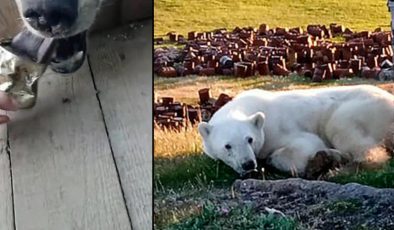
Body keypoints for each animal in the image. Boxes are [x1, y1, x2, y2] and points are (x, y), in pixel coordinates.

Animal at [199, 84, 394, 178]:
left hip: (362, 109)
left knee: (343, 129)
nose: (248, 164)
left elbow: (305, 145)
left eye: (250, 139)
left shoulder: (279, 128)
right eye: (227, 146)